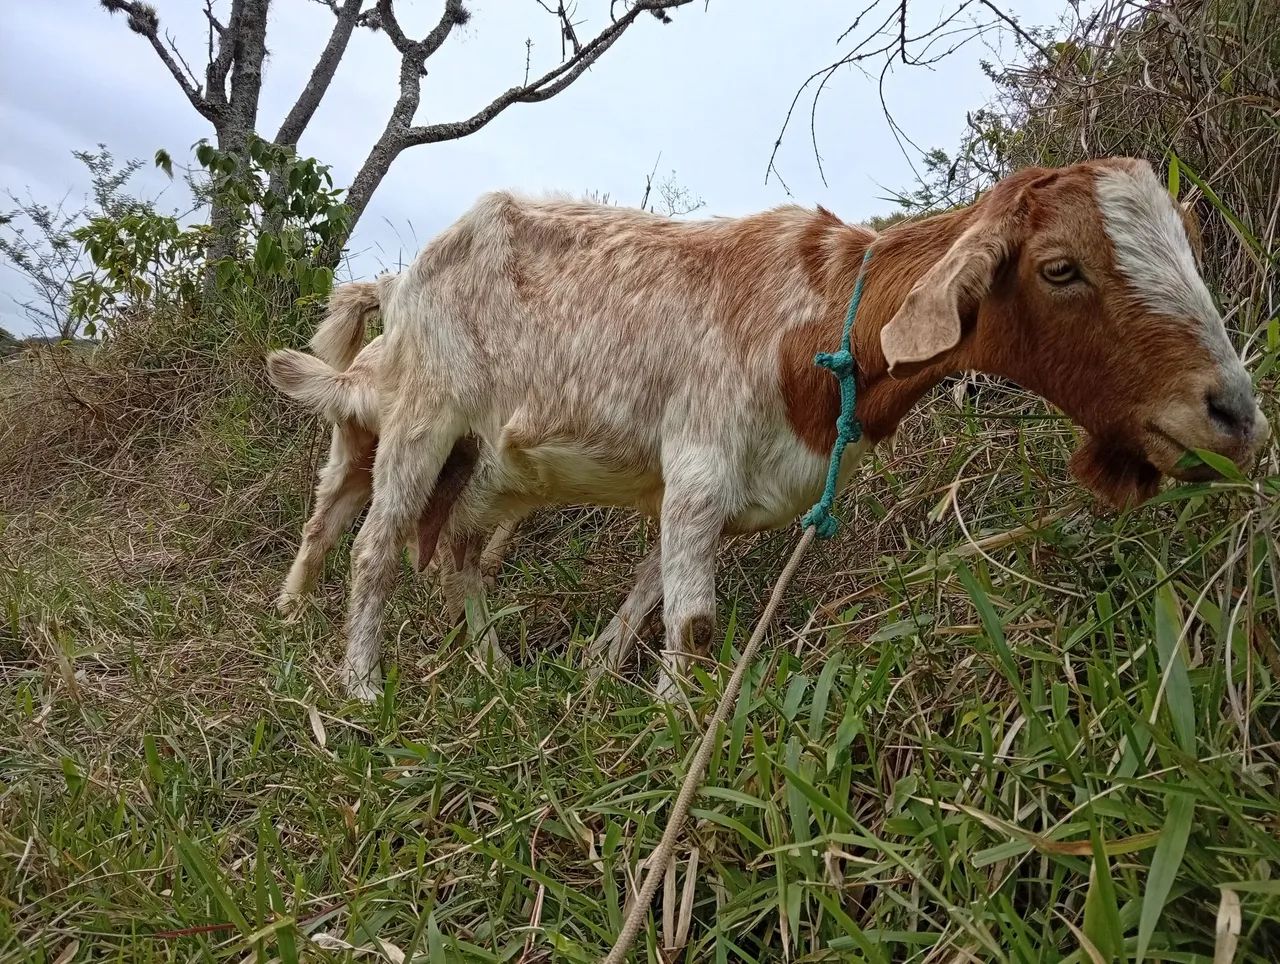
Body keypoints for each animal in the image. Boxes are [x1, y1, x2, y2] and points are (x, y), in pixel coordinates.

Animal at [268, 159, 1268, 701]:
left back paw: (490, 671)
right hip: (422, 422)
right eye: (1060, 268)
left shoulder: (717, 494)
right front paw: (675, 726)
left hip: (489, 468)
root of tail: (403, 278)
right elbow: (696, 621)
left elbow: (651, 593)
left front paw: (595, 678)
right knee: (373, 545)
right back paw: (359, 686)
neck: (819, 327)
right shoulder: (700, 462)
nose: (1233, 413)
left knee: (463, 556)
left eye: (1189, 244)